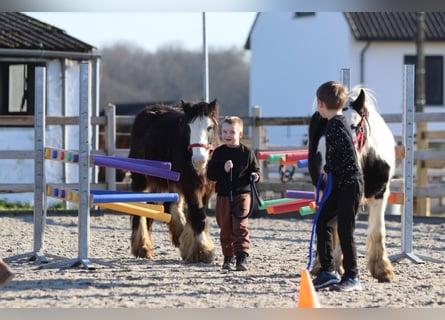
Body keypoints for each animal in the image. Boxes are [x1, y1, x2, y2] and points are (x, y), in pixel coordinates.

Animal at [128, 100, 219, 262]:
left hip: (160, 185)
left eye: (209, 127)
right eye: (188, 127)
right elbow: (198, 214)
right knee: (140, 209)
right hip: (141, 180)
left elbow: (196, 214)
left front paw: (188, 244)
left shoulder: (205, 190)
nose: (199, 160)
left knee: (161, 207)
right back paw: (142, 246)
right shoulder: (190, 186)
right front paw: (203, 251)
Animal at [308, 85, 396, 282]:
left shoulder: (381, 192)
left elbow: (377, 230)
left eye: (356, 126)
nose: (329, 167)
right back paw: (321, 264)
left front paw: (382, 270)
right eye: (330, 127)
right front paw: (336, 265)